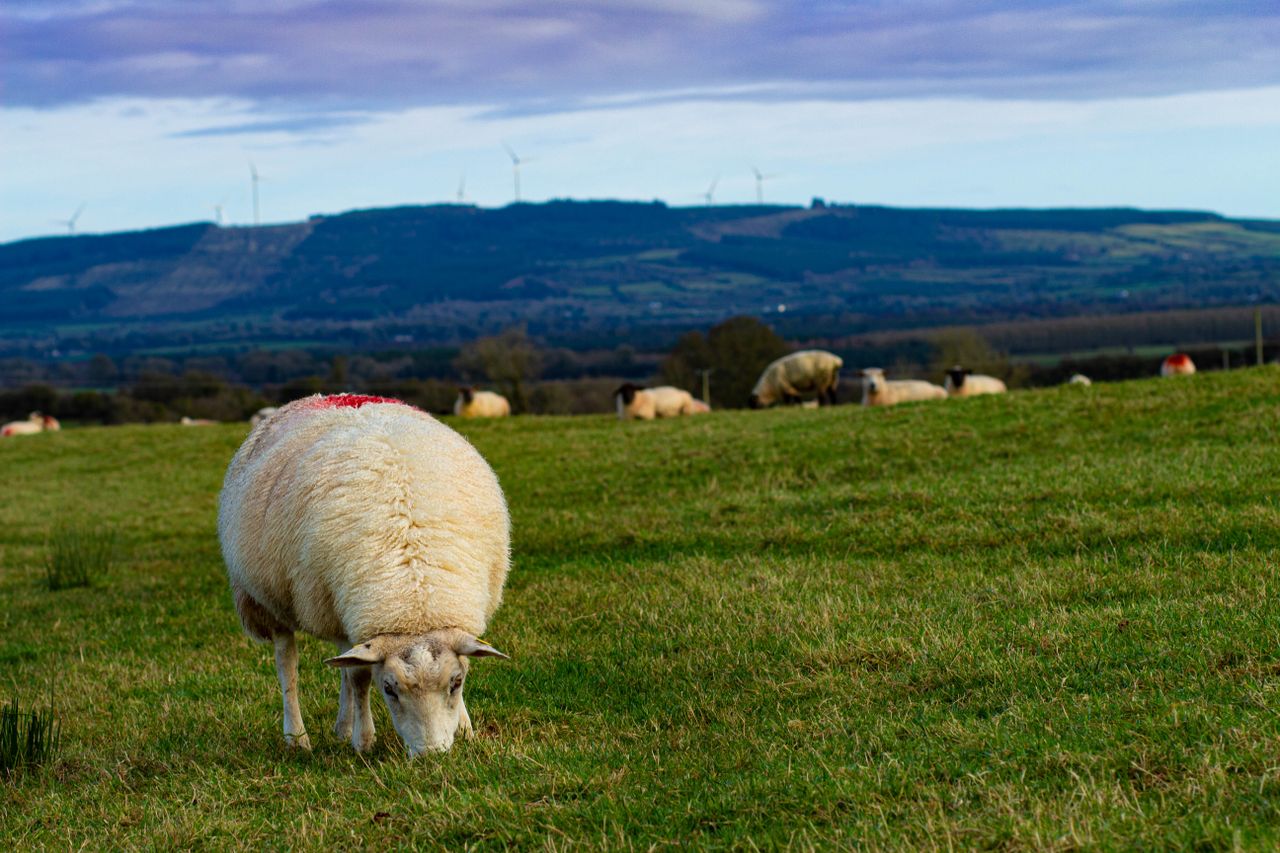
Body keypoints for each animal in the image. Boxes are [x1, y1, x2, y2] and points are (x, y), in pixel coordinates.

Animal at [218, 393, 510, 756]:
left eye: (456, 684)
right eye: (389, 689)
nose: (431, 755)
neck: (414, 602)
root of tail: (330, 397)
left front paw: (466, 728)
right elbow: (358, 677)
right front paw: (364, 741)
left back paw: (341, 729)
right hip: (273, 601)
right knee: (288, 665)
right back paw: (298, 738)